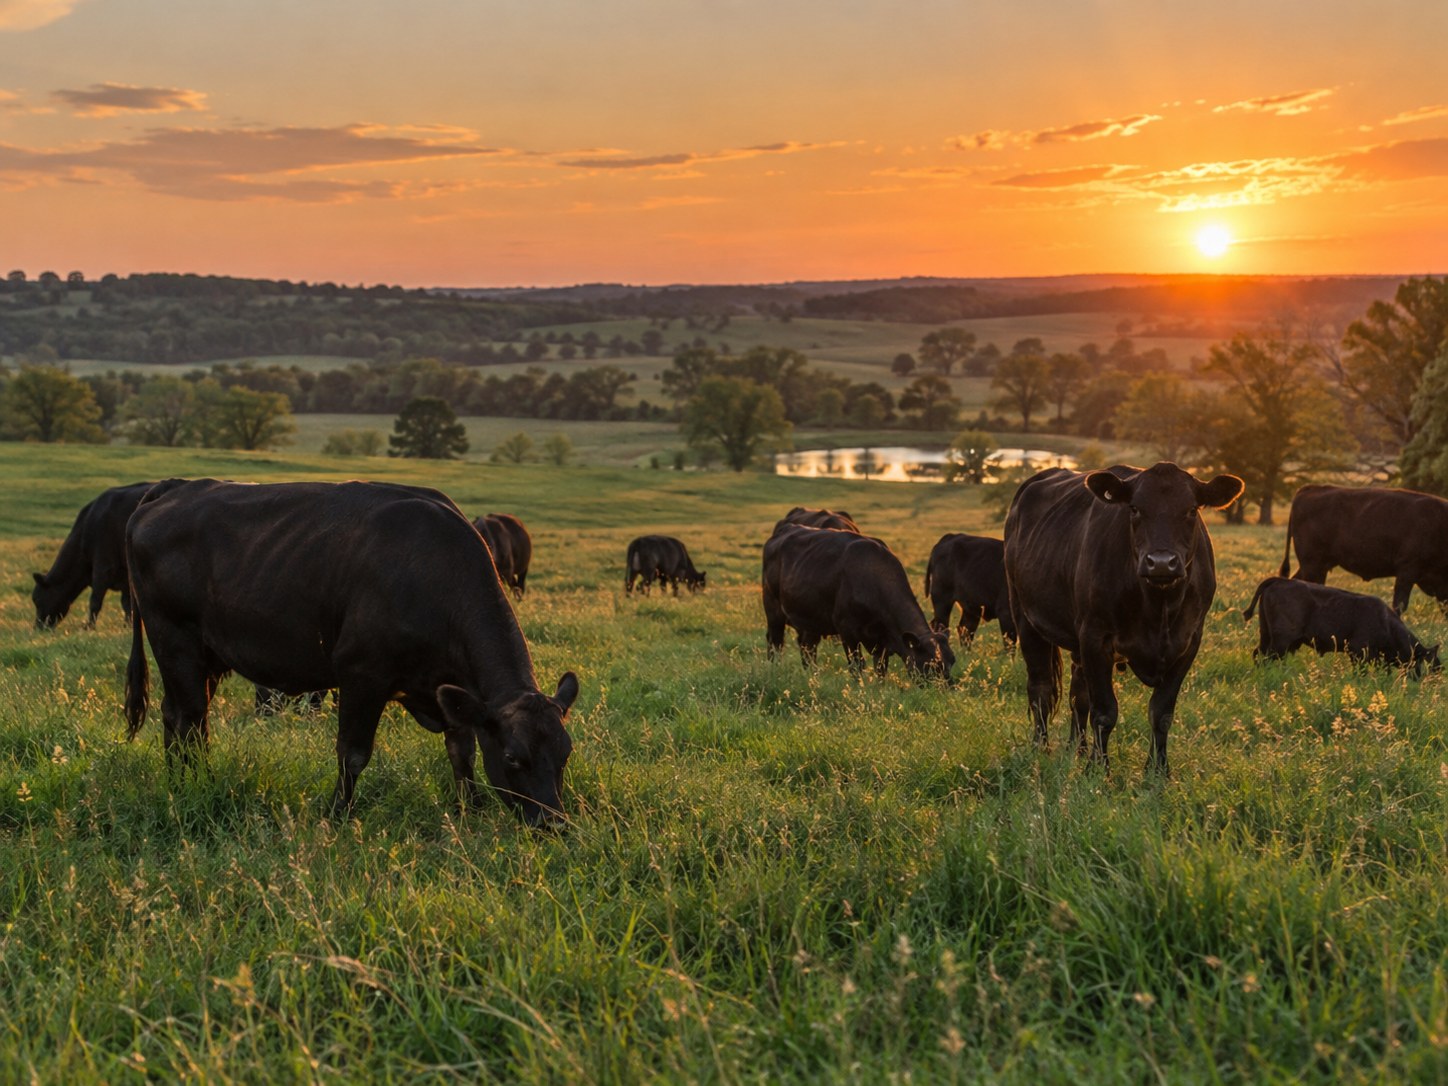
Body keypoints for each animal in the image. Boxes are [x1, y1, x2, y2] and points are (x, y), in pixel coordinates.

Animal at [31, 481, 156, 628]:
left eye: (37, 599)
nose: (38, 627)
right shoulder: (125, 575)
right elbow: (126, 604)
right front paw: (128, 625)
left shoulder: (103, 566)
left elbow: (95, 600)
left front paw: (89, 626)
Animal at [124, 479, 579, 828]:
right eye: (513, 757)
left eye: (565, 753)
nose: (553, 822)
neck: (433, 573)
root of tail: (177, 487)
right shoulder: (361, 675)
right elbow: (354, 754)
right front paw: (338, 813)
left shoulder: (451, 690)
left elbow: (461, 750)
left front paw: (471, 808)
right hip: (174, 640)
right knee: (189, 720)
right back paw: (197, 784)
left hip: (208, 655)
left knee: (179, 717)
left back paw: (180, 784)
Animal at [762, 524, 953, 678]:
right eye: (931, 664)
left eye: (952, 661)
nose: (947, 687)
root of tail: (785, 529)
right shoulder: (847, 631)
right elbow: (857, 665)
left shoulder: (882, 639)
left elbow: (881, 668)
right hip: (773, 610)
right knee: (775, 643)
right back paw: (775, 670)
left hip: (811, 619)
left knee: (807, 647)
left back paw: (812, 675)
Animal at [1004, 463, 1243, 774]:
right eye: (1134, 508)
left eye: (1191, 510)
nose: (1161, 563)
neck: (1158, 609)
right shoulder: (1095, 638)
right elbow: (1104, 712)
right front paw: (1098, 769)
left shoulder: (1189, 641)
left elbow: (1161, 712)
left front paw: (1157, 771)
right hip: (1026, 619)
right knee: (1041, 690)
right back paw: (1040, 749)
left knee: (1077, 695)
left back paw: (1076, 750)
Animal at [1243, 576, 1441, 674]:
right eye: (1428, 660)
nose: (1440, 669)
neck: (1387, 624)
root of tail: (1280, 580)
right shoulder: (1358, 650)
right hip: (1280, 642)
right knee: (1266, 658)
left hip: (1267, 637)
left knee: (1257, 654)